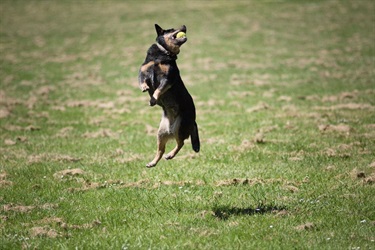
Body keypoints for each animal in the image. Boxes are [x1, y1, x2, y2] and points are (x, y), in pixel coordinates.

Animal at [139, 23, 200, 168]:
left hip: (180, 127)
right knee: (161, 150)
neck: (163, 54)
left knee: (181, 143)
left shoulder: (167, 78)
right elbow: (142, 80)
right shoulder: (143, 71)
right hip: (161, 133)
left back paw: (170, 155)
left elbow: (158, 90)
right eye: (171, 29)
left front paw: (153, 99)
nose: (184, 25)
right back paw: (153, 162)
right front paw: (144, 87)